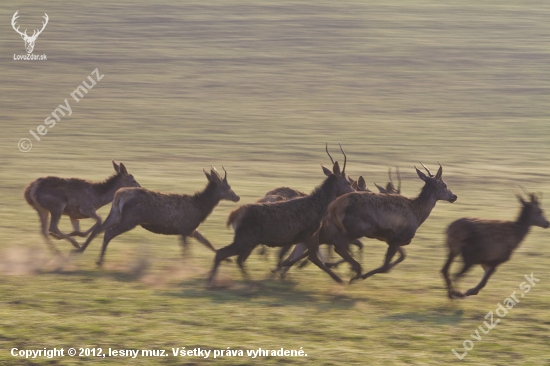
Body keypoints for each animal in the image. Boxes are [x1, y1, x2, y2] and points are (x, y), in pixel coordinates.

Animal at [81, 167, 240, 266]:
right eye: (228, 187)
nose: (237, 197)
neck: (201, 208)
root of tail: (119, 195)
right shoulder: (185, 228)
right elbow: (186, 250)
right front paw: (186, 264)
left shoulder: (191, 229)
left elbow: (207, 242)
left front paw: (226, 260)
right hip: (130, 219)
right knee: (108, 232)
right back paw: (99, 261)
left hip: (115, 214)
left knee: (100, 229)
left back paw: (87, 253)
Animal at [209, 160, 356, 286]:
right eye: (348, 183)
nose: (355, 192)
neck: (319, 209)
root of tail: (233, 216)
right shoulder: (310, 234)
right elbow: (313, 257)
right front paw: (339, 278)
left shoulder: (305, 237)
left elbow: (304, 256)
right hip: (245, 239)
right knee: (222, 253)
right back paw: (213, 281)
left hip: (248, 241)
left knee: (237, 259)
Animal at [322, 164, 460, 282]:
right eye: (445, 185)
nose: (454, 196)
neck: (418, 215)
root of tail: (334, 206)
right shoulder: (398, 238)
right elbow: (385, 267)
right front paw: (361, 276)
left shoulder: (393, 239)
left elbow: (397, 259)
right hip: (356, 228)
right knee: (339, 245)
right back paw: (354, 269)